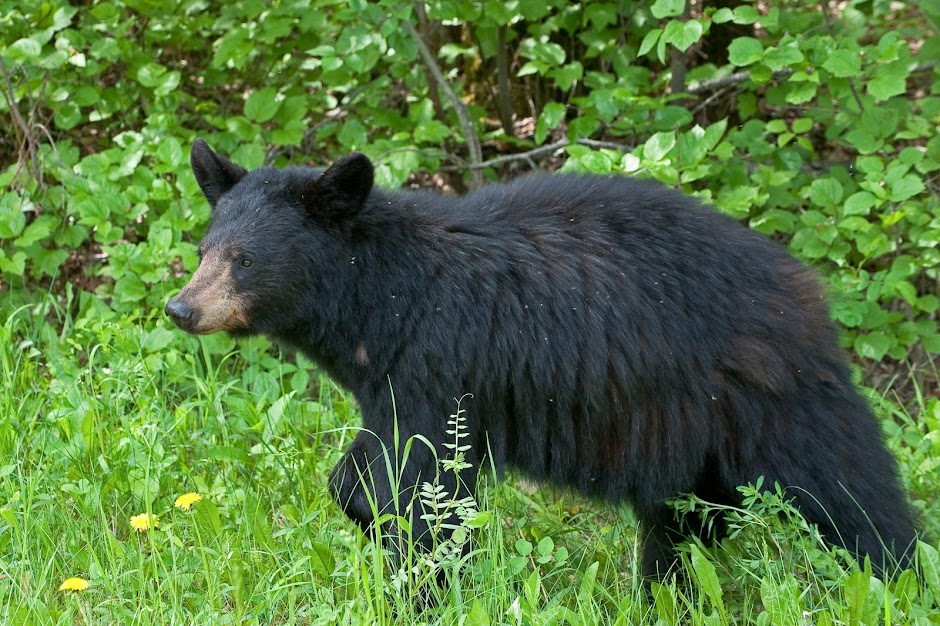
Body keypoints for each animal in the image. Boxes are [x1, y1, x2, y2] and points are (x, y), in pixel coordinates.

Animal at [166, 138, 916, 580]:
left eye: (245, 258)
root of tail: (802, 282)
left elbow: (422, 483)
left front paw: (429, 577)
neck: (383, 299)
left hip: (768, 393)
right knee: (682, 517)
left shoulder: (440, 361)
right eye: (205, 248)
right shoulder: (391, 379)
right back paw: (663, 589)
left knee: (848, 488)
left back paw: (897, 570)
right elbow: (368, 472)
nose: (181, 307)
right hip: (686, 428)